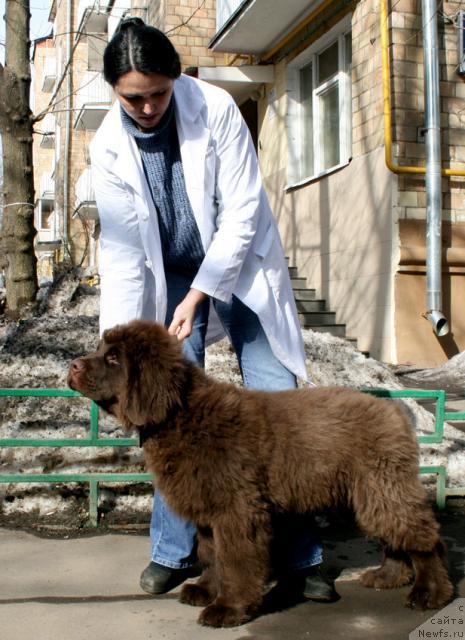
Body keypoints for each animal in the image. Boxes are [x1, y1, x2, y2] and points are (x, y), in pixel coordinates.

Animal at [67, 318, 452, 628]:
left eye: (114, 358)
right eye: (101, 349)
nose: (72, 365)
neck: (182, 416)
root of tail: (395, 411)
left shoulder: (237, 509)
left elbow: (235, 559)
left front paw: (227, 609)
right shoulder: (209, 507)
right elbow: (212, 556)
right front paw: (206, 590)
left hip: (381, 486)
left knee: (423, 536)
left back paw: (430, 592)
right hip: (365, 493)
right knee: (395, 534)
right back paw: (388, 576)